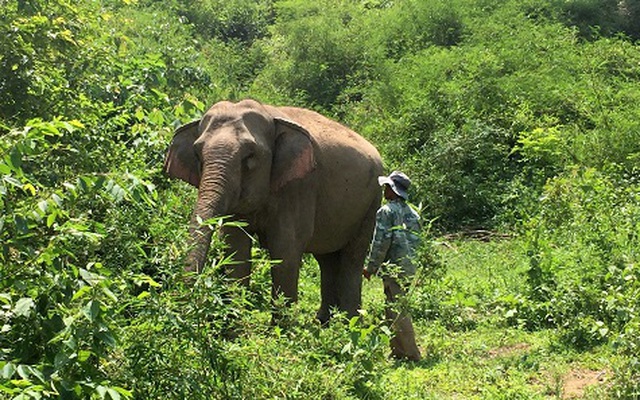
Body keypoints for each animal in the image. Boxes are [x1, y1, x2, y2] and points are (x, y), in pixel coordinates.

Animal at [166, 99, 384, 322]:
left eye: (250, 155)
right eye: (196, 154)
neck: (269, 113)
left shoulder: (299, 185)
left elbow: (285, 250)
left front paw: (281, 328)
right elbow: (236, 248)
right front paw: (234, 327)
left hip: (372, 202)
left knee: (353, 258)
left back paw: (350, 323)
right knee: (327, 259)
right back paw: (324, 322)